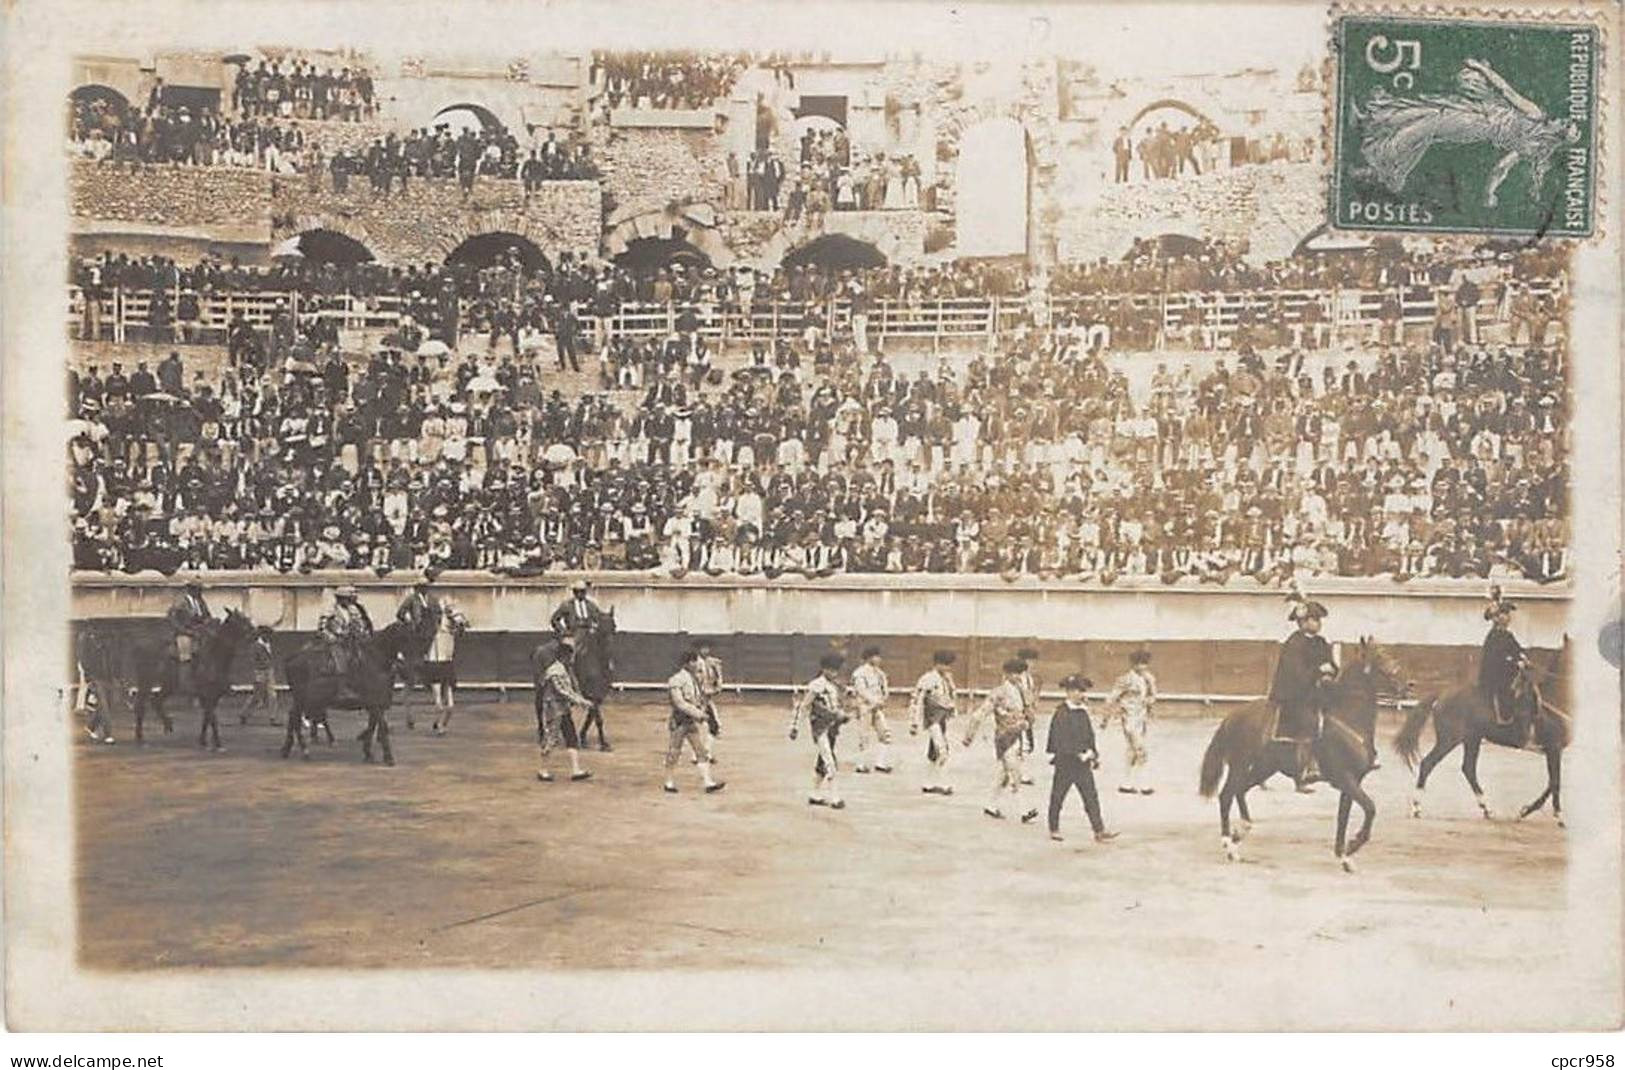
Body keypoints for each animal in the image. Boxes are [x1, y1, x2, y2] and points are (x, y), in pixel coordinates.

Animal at [132, 604, 256, 744]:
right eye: (242, 620)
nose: (255, 633)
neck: (215, 655)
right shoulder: (207, 694)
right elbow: (212, 717)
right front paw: (217, 742)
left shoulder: (213, 696)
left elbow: (208, 717)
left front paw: (203, 739)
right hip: (147, 682)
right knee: (141, 705)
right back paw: (141, 736)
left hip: (167, 685)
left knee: (155, 702)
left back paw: (166, 725)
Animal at [281, 611, 435, 761]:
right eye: (406, 638)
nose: (417, 664)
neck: (376, 659)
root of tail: (292, 659)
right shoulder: (377, 703)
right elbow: (381, 725)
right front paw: (388, 757)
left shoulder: (376, 704)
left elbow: (372, 725)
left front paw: (368, 752)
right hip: (302, 698)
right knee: (295, 718)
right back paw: (304, 750)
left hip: (303, 699)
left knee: (293, 717)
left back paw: (288, 749)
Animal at [1202, 634, 1417, 865]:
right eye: (1379, 659)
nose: (1410, 685)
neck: (1348, 720)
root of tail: (1233, 716)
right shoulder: (1345, 779)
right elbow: (1370, 808)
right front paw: (1353, 845)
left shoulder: (1353, 781)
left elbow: (1343, 817)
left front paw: (1343, 856)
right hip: (1240, 765)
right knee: (1226, 795)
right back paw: (1228, 844)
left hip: (1263, 767)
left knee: (1240, 790)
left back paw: (1241, 831)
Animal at [1391, 640, 1566, 826]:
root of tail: (1443, 694)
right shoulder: (1554, 748)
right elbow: (1555, 782)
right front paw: (1556, 816)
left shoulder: (1554, 750)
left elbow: (1552, 782)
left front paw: (1527, 810)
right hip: (1450, 740)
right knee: (1429, 763)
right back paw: (1417, 807)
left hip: (1471, 740)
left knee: (1468, 768)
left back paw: (1486, 809)